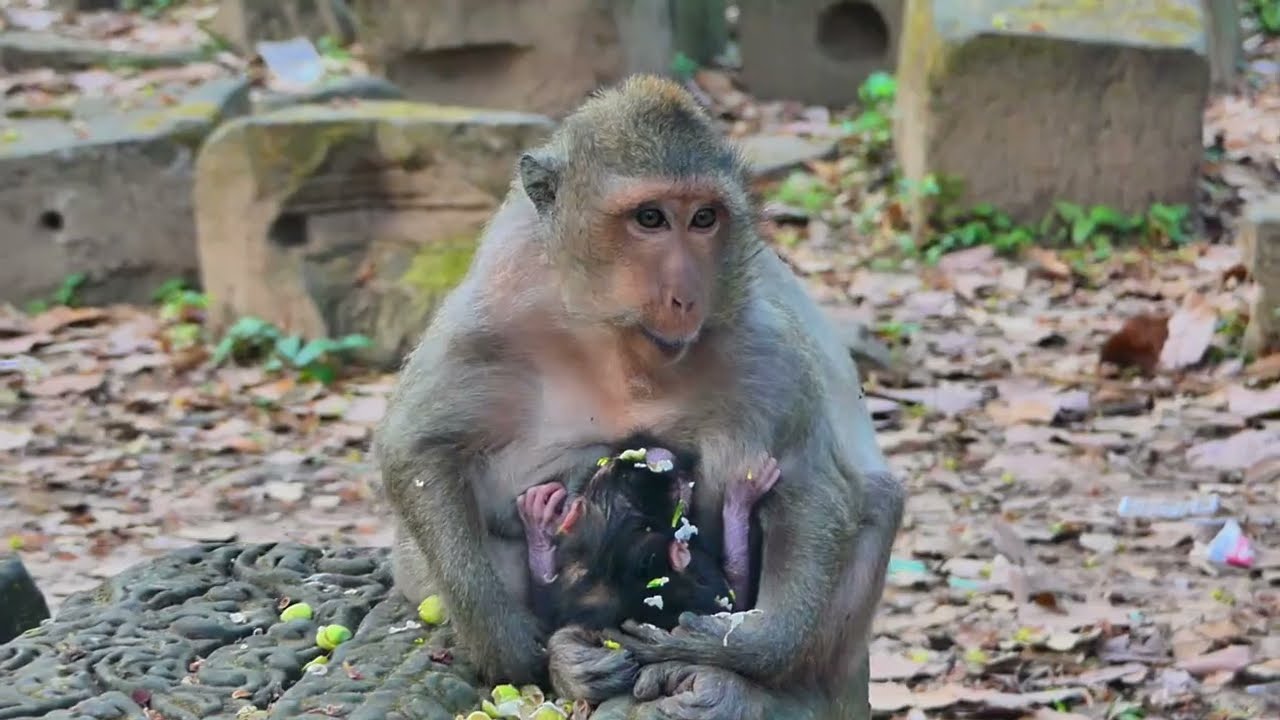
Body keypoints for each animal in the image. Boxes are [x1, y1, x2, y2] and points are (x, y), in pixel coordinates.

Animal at [517, 432, 781, 634]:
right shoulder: (698, 580)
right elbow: (736, 604)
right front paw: (741, 496)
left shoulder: (574, 583)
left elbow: (547, 615)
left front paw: (539, 525)